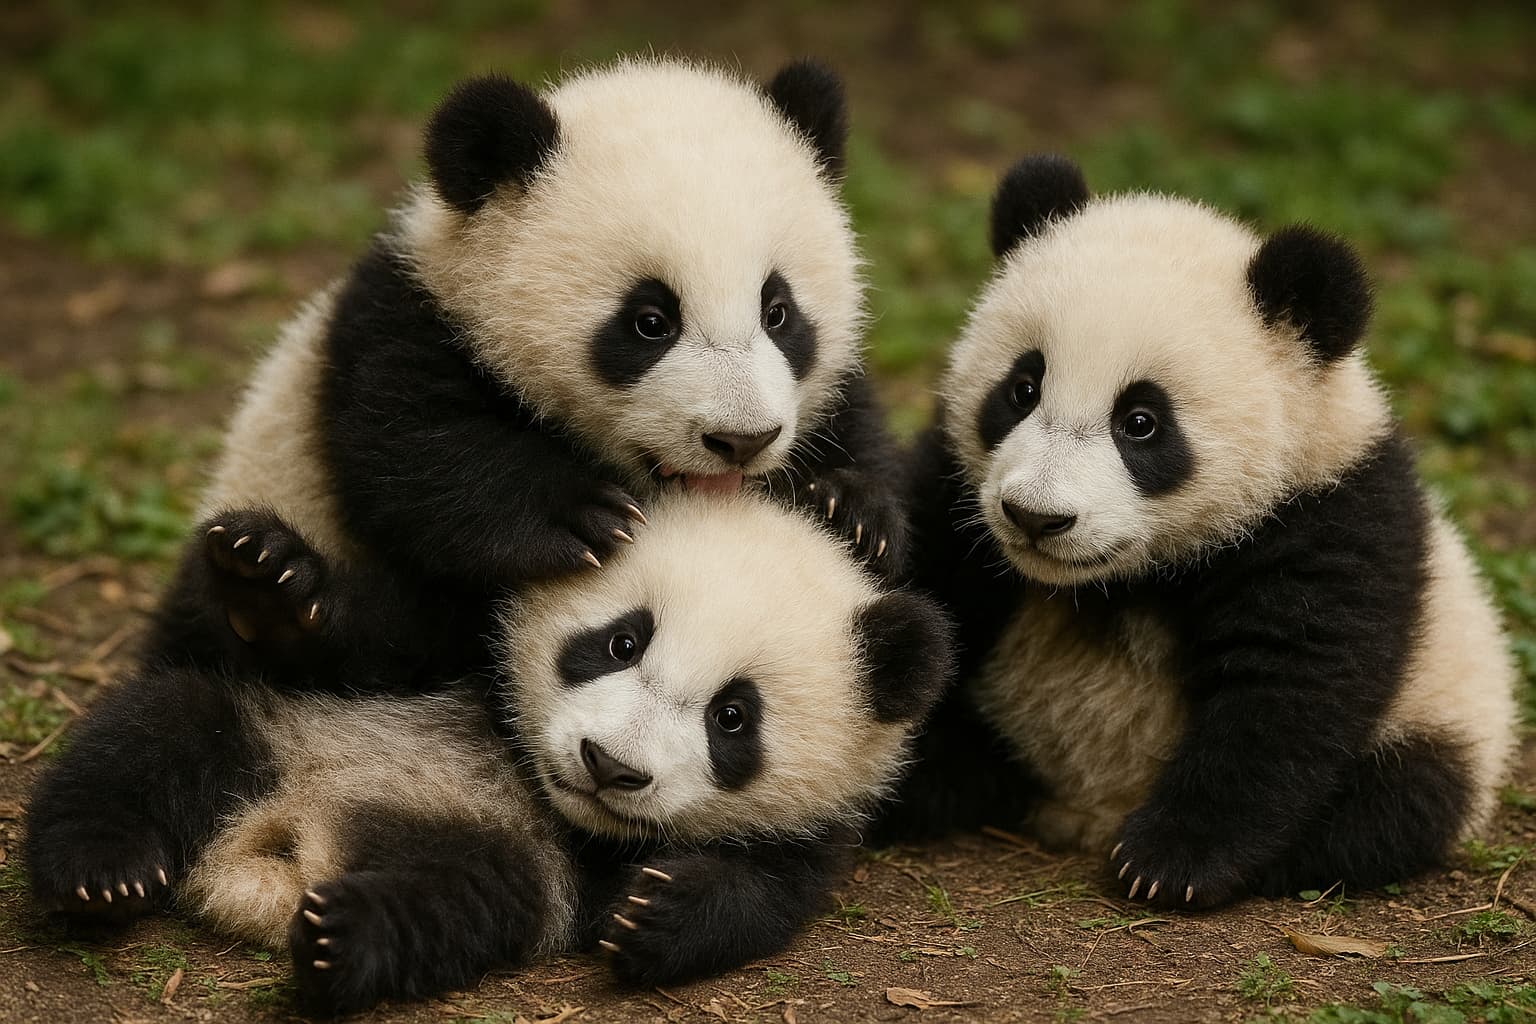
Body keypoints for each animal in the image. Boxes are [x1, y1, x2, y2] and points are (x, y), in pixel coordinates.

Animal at [25, 492, 955, 1013]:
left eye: (733, 717)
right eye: (620, 642)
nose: (609, 765)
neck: (537, 781)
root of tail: (278, 848)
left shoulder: (813, 829)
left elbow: (763, 893)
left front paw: (653, 909)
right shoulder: (465, 625)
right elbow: (362, 638)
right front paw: (264, 577)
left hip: (500, 865)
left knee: (455, 904)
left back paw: (341, 938)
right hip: (281, 728)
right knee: (156, 733)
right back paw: (99, 874)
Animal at [890, 154, 1520, 909]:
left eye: (1141, 422)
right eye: (1022, 389)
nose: (1036, 517)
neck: (1115, 583)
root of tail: (1081, 804)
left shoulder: (1327, 515)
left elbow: (1288, 690)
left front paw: (1171, 860)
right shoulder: (959, 492)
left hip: (1445, 714)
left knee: (1400, 802)